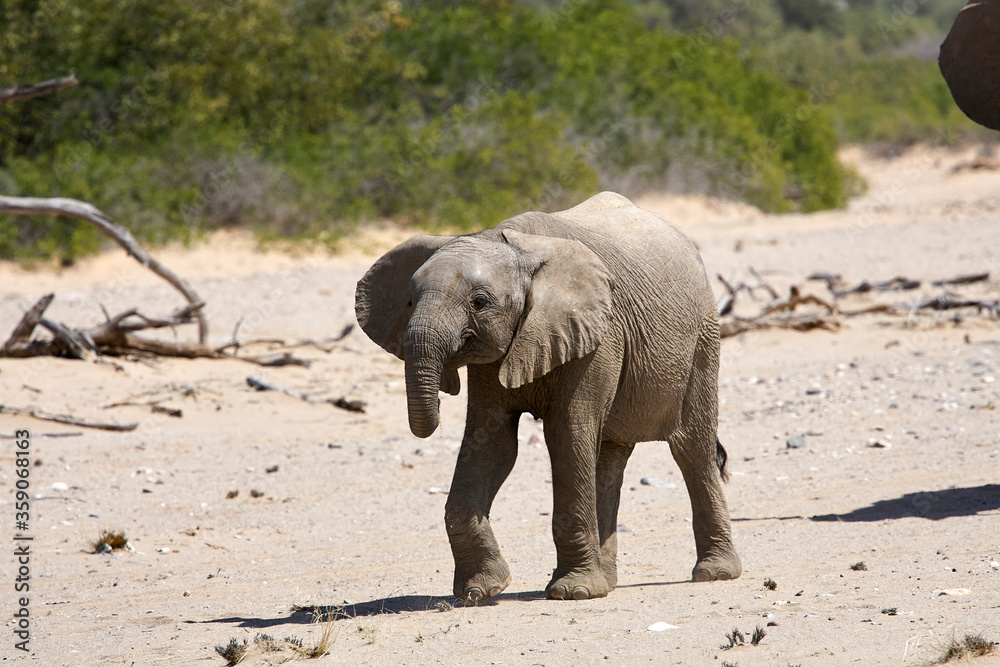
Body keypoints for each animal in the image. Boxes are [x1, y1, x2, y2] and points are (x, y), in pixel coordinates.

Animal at [355, 192, 741, 601]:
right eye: (409, 301)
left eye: (479, 302)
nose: (445, 392)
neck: (514, 246)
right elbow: (492, 444)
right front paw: (479, 592)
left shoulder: (599, 334)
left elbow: (566, 433)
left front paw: (574, 593)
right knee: (609, 459)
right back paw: (609, 582)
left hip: (703, 336)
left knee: (691, 449)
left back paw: (714, 573)